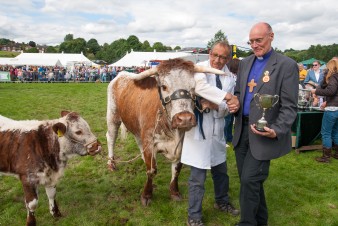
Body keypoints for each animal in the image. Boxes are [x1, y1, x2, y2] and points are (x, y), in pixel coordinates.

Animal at [105, 57, 222, 205]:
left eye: (193, 87)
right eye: (164, 86)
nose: (184, 119)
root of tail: (120, 76)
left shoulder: (180, 145)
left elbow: (177, 169)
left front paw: (174, 192)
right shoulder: (150, 141)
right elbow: (151, 170)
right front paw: (147, 195)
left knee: (137, 141)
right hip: (112, 116)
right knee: (111, 138)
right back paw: (111, 163)